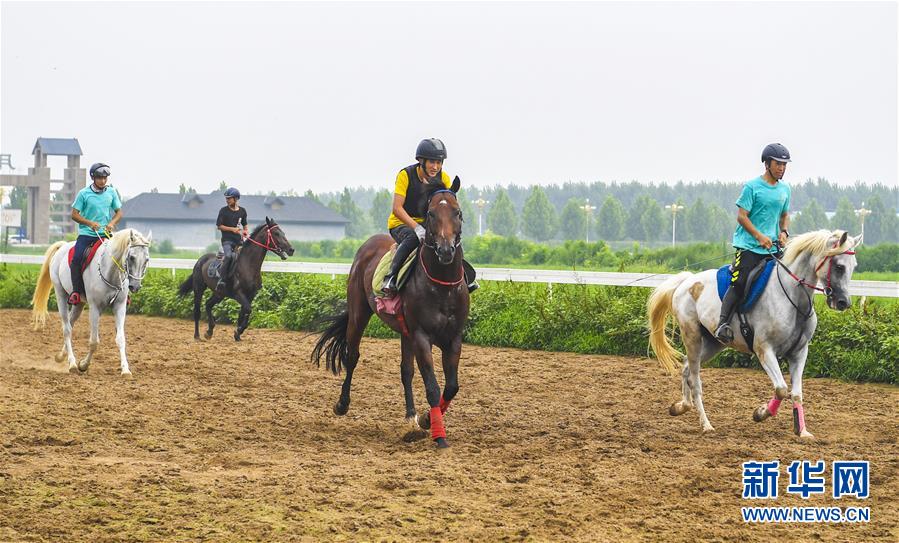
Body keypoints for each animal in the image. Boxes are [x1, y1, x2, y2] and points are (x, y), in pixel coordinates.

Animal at [31, 227, 151, 376]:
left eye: (146, 259)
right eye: (132, 257)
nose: (135, 286)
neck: (110, 271)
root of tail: (63, 247)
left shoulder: (120, 306)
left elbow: (121, 339)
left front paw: (125, 370)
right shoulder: (94, 308)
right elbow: (94, 341)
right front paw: (83, 365)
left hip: (79, 304)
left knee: (70, 324)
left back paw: (61, 356)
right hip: (60, 295)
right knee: (66, 329)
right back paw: (72, 364)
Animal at [312, 178, 468, 450]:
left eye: (457, 212)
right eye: (431, 213)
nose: (446, 250)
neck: (443, 286)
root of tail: (368, 244)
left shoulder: (453, 338)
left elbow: (451, 387)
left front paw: (426, 419)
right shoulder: (422, 336)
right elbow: (433, 388)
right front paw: (439, 435)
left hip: (405, 332)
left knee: (406, 371)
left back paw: (410, 416)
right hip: (359, 313)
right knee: (352, 356)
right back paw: (342, 404)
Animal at [648, 228, 864, 438]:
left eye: (853, 266)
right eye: (839, 267)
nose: (843, 302)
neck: (792, 298)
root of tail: (687, 281)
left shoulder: (799, 353)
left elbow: (796, 393)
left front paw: (802, 431)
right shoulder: (765, 350)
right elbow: (781, 389)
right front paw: (760, 413)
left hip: (713, 343)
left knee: (686, 368)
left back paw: (681, 407)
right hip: (692, 336)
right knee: (694, 378)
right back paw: (706, 424)